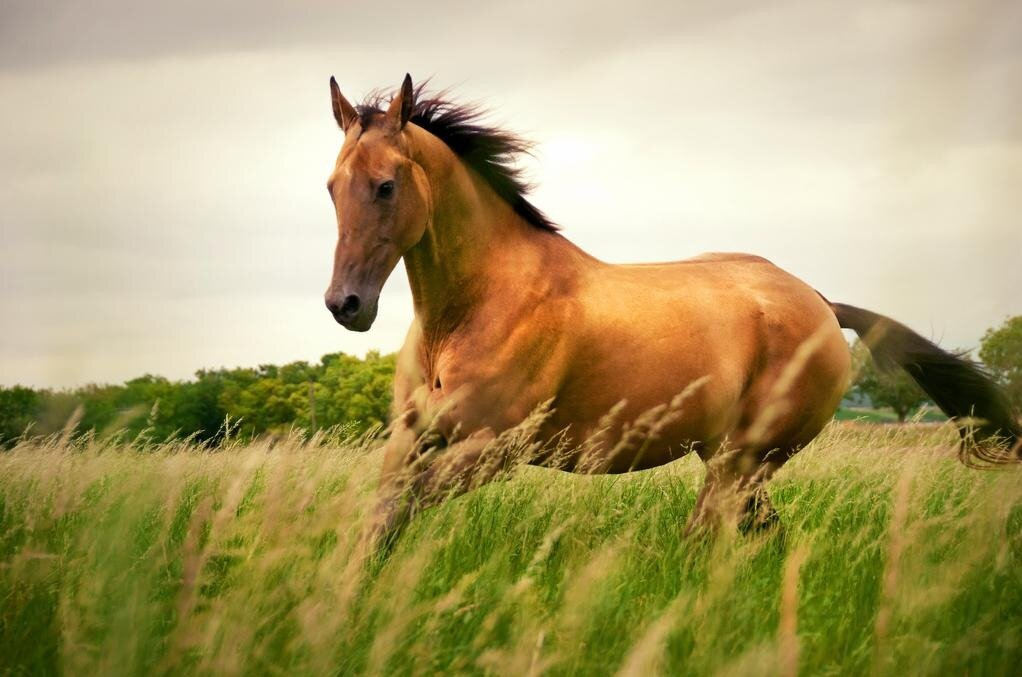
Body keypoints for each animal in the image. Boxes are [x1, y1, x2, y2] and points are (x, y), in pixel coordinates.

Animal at [320, 74, 1021, 552]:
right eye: (331, 187)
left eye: (386, 186)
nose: (345, 305)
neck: (476, 310)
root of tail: (822, 303)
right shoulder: (411, 438)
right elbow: (380, 518)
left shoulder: (491, 450)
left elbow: (398, 512)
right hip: (733, 461)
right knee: (762, 533)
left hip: (744, 460)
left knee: (710, 538)